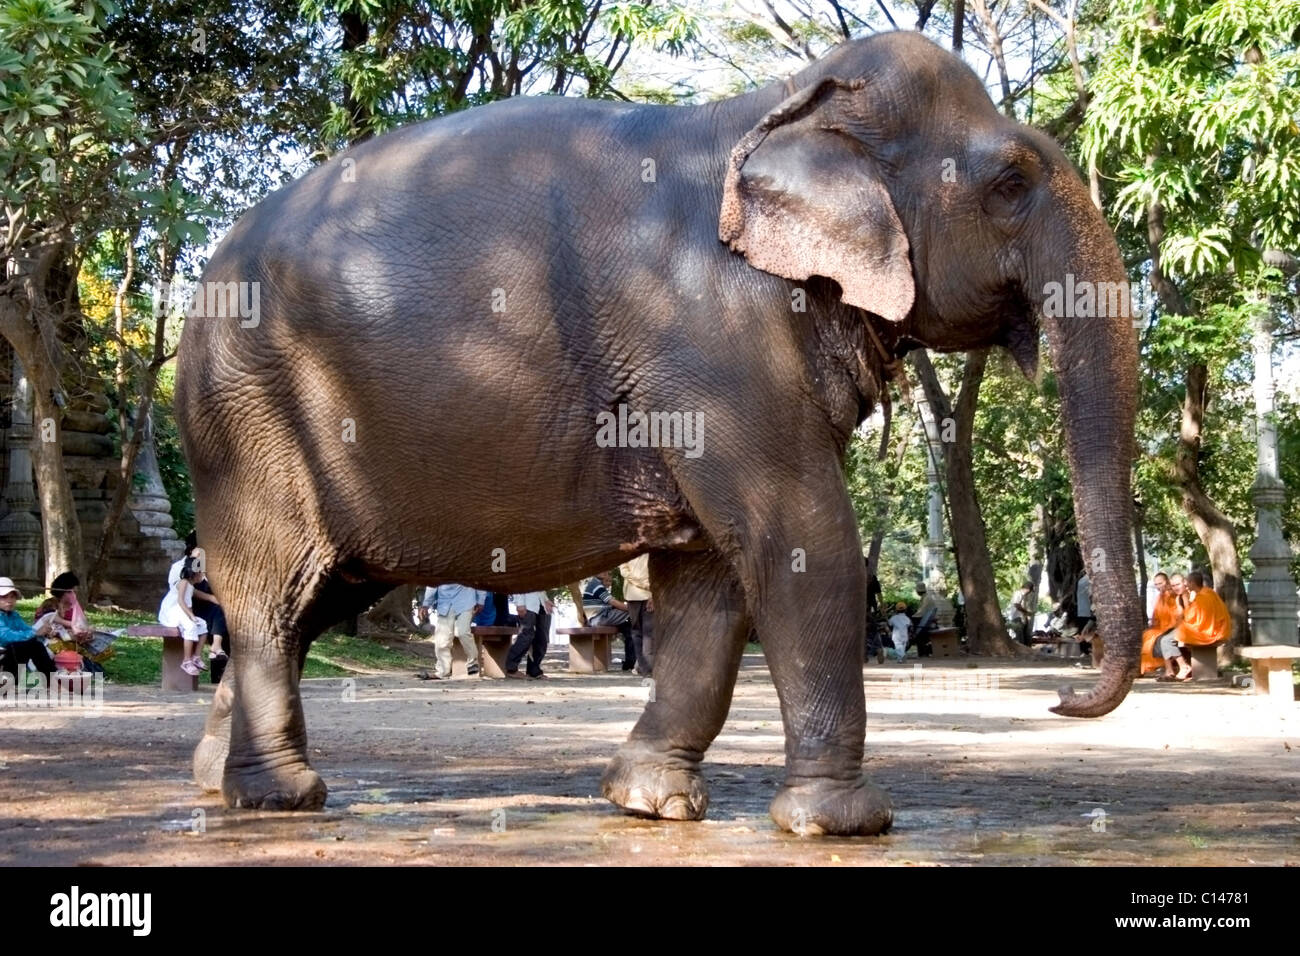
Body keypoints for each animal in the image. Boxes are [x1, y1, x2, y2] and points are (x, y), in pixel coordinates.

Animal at [180, 27, 1138, 837]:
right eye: (1010, 185)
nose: (1060, 699)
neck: (779, 103)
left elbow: (712, 574)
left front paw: (653, 802)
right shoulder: (714, 336)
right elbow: (802, 537)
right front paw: (841, 823)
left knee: (307, 600)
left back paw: (213, 779)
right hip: (248, 418)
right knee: (271, 593)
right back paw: (279, 797)